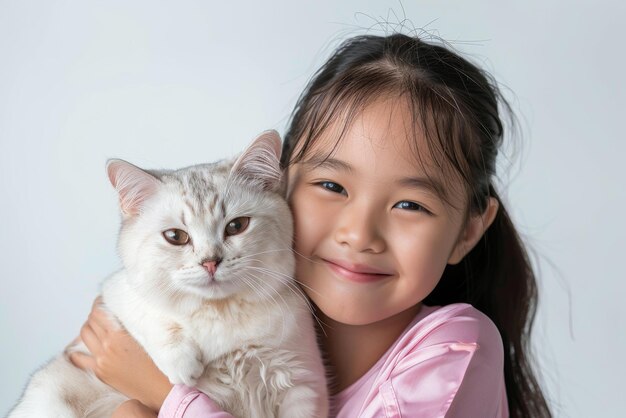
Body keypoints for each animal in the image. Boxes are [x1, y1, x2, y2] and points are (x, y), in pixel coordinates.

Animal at [9, 131, 330, 418]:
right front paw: (183, 364)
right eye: (176, 237)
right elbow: (150, 314)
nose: (210, 262)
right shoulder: (115, 293)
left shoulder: (304, 386)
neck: (220, 313)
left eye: (236, 226)